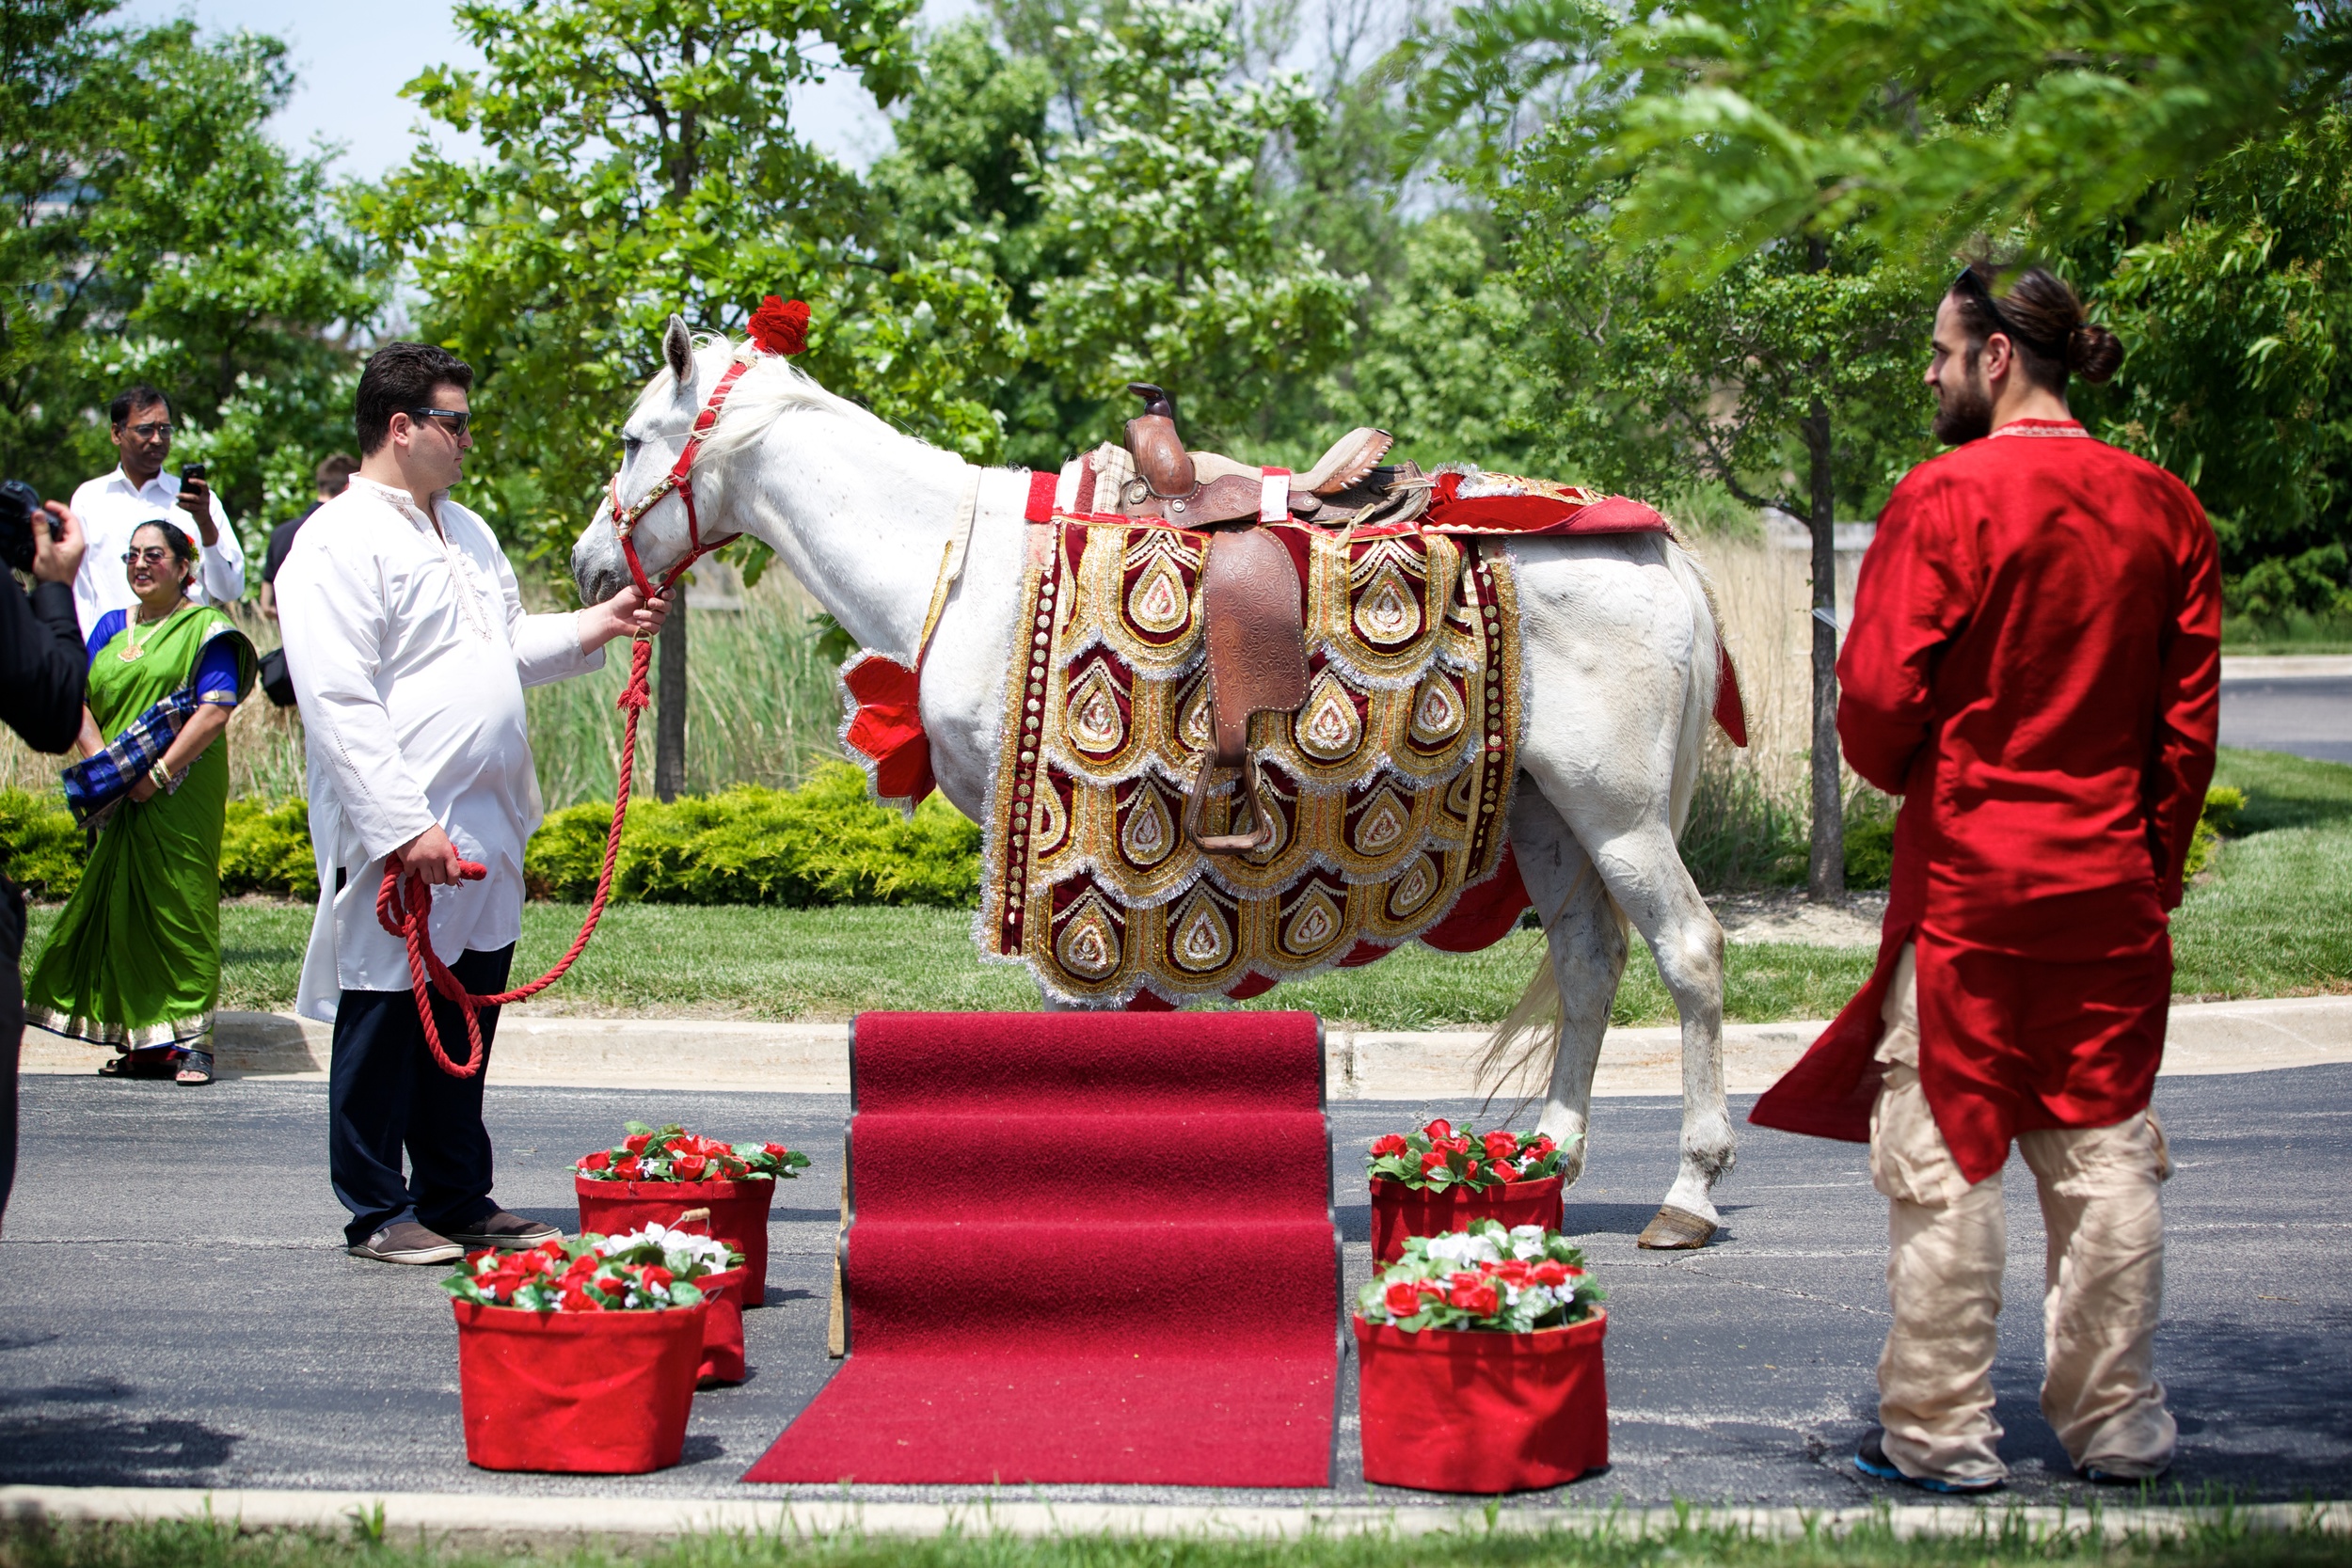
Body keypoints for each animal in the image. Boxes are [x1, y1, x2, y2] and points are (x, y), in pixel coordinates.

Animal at [574, 322, 1731, 1250]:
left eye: (628, 438)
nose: (589, 568)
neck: (965, 565)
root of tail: (1660, 551)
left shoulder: (1051, 849)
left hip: (1619, 815)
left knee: (1687, 954)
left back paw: (1688, 1190)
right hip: (1544, 811)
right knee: (1587, 963)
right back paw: (1548, 1162)